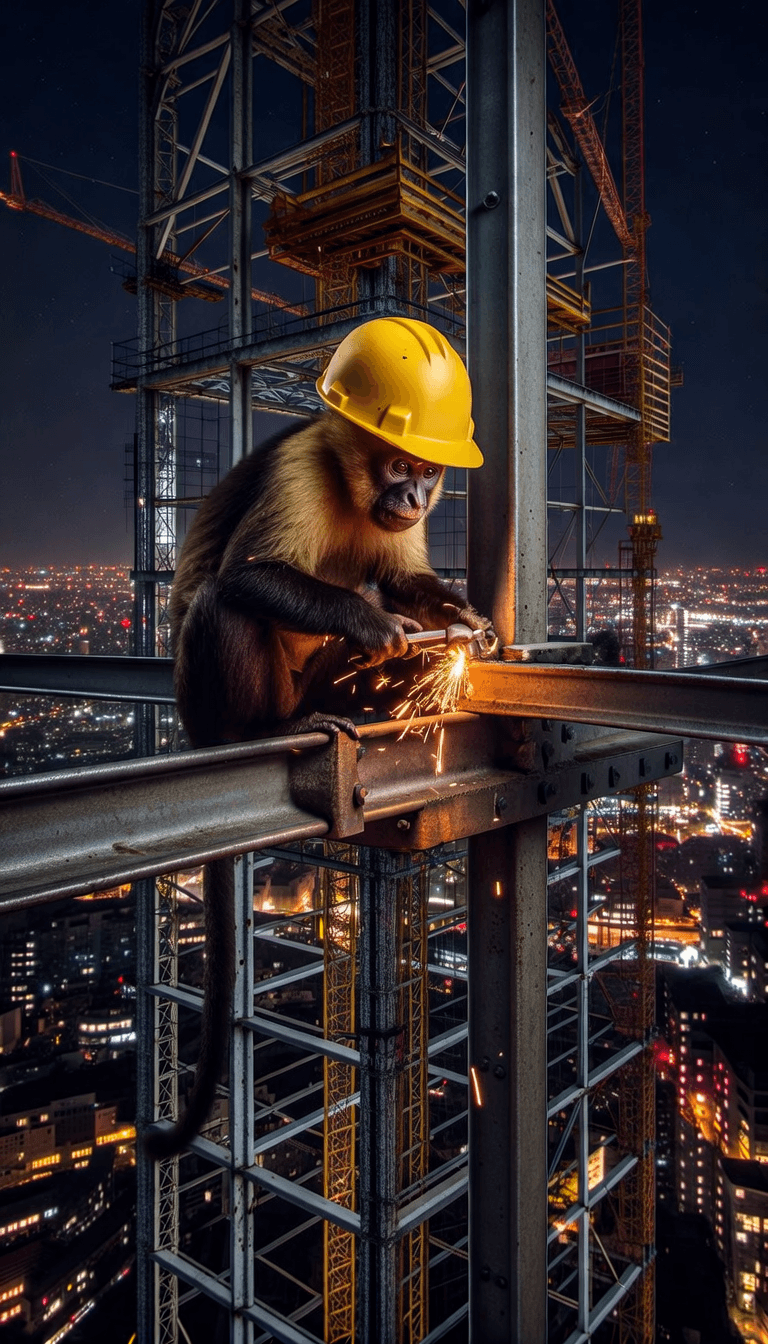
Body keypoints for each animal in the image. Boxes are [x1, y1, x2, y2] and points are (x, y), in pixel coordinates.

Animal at [144, 408, 492, 1159]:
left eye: (429, 471)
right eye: (399, 465)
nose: (415, 497)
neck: (354, 489)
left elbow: (404, 576)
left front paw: (467, 623)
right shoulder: (298, 467)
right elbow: (252, 576)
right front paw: (375, 626)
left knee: (370, 584)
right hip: (209, 701)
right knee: (225, 597)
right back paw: (273, 725)